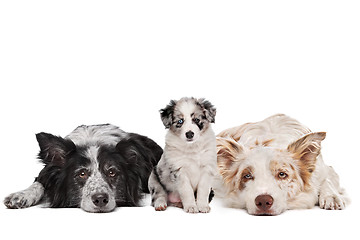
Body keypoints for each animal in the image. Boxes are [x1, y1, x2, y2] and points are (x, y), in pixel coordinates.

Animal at [3, 124, 162, 213]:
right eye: (82, 173)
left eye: (112, 172)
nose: (100, 199)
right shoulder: (47, 172)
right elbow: (38, 183)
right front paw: (20, 196)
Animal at [215, 114, 348, 216]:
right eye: (247, 176)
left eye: (282, 174)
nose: (263, 201)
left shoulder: (326, 170)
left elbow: (327, 180)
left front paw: (331, 197)